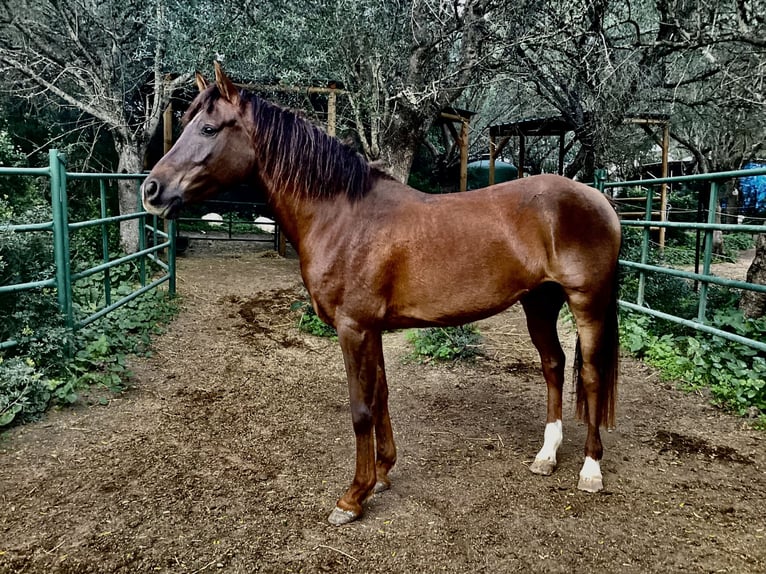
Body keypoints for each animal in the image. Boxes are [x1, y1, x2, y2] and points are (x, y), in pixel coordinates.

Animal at [142, 63, 624, 528]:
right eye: (183, 122)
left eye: (208, 128)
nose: (151, 190)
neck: (343, 216)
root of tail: (598, 198)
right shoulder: (371, 329)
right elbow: (381, 397)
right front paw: (384, 472)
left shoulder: (353, 328)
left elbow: (361, 409)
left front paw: (353, 497)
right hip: (539, 302)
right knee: (553, 365)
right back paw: (547, 455)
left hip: (587, 304)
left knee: (591, 375)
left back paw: (590, 470)